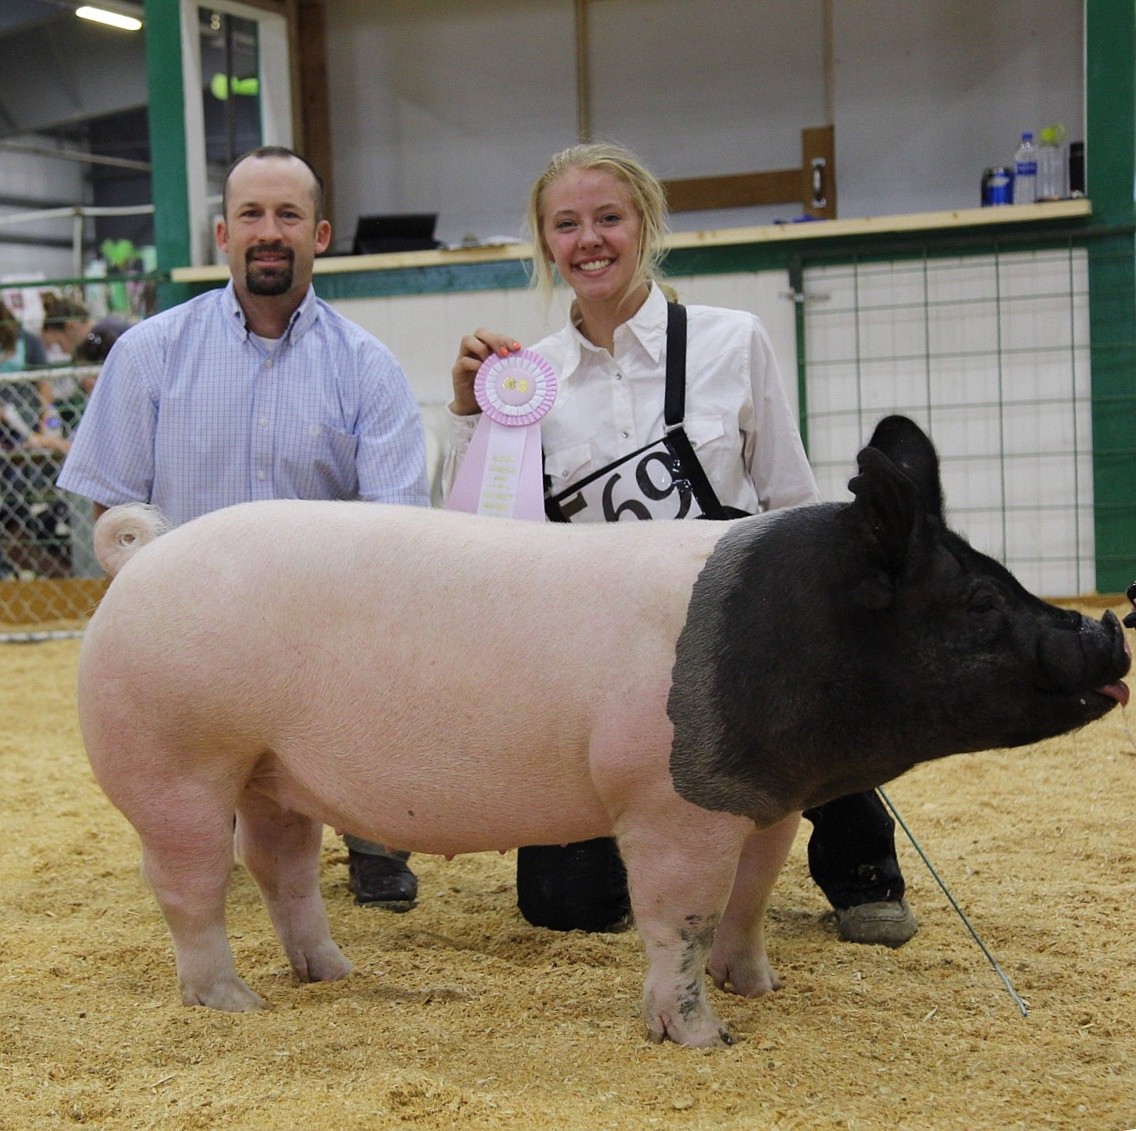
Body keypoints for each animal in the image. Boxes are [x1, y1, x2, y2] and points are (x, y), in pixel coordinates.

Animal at [77, 417, 1126, 1049]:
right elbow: (681, 915)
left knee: (281, 866)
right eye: (978, 601)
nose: (1109, 631)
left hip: (270, 769)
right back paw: (233, 1001)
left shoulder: (765, 799)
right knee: (188, 884)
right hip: (180, 760)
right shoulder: (668, 800)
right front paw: (705, 1039)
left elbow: (750, 899)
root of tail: (144, 557)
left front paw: (762, 989)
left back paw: (332, 973)